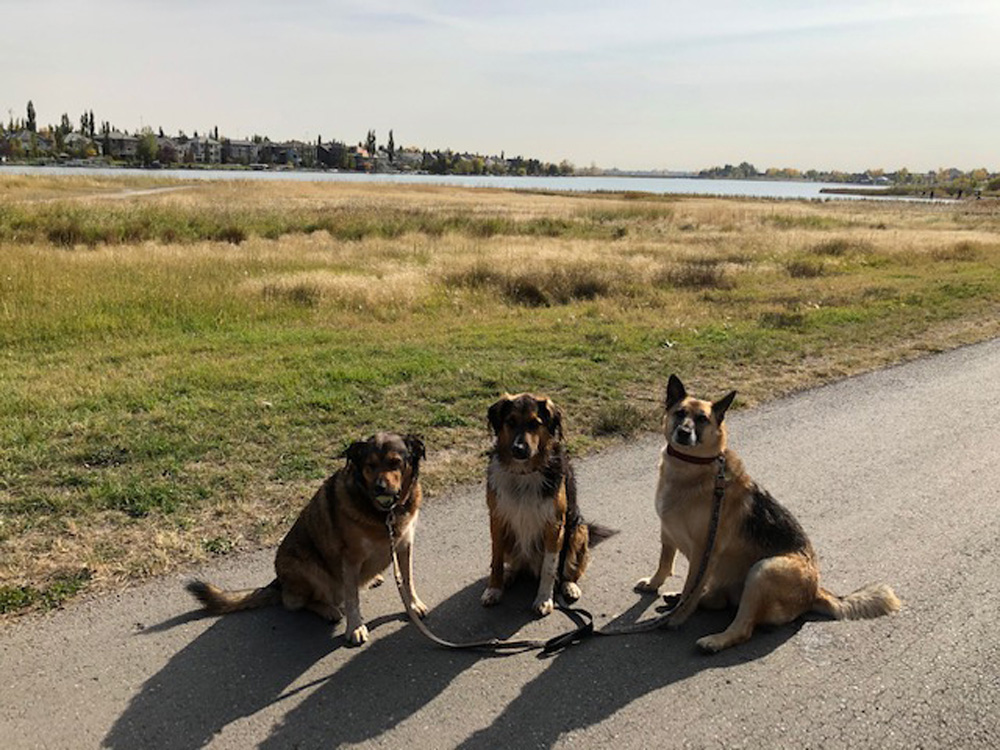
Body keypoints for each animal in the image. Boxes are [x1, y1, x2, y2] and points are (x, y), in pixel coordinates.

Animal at [188, 432, 426, 648]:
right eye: (371, 464)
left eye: (395, 462)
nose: (380, 487)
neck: (385, 514)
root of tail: (279, 582)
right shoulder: (350, 558)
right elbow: (352, 599)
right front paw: (355, 627)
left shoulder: (404, 546)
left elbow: (408, 580)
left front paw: (413, 605)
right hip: (306, 566)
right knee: (297, 602)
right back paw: (328, 609)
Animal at [480, 394, 612, 616]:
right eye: (510, 422)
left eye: (535, 423)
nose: (518, 449)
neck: (524, 472)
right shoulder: (497, 519)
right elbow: (496, 560)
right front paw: (494, 589)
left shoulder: (555, 524)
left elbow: (549, 568)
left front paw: (544, 599)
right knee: (515, 564)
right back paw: (509, 574)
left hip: (578, 529)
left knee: (568, 569)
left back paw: (569, 586)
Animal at [636, 378, 904, 656]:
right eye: (680, 413)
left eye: (702, 419)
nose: (683, 433)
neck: (693, 467)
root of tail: (814, 592)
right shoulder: (668, 533)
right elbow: (664, 563)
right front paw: (655, 584)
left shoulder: (704, 551)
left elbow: (692, 585)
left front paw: (677, 617)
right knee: (717, 601)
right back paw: (680, 598)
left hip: (762, 572)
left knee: (742, 627)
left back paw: (714, 640)